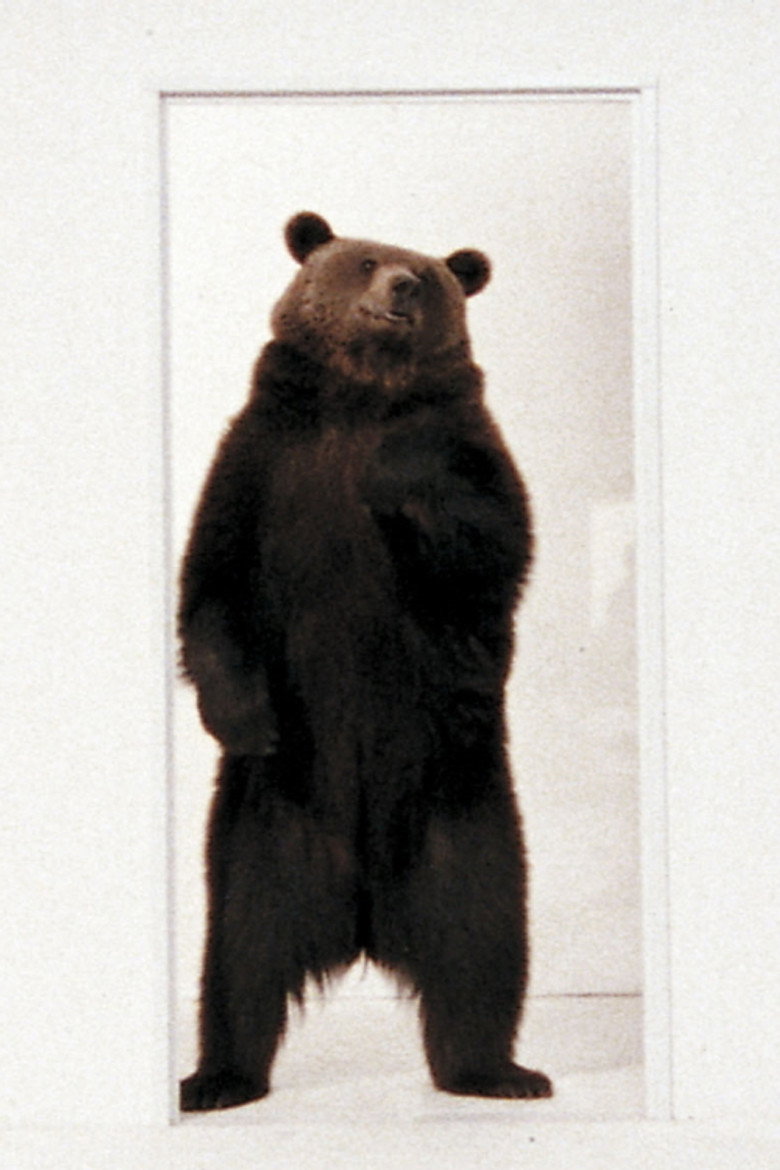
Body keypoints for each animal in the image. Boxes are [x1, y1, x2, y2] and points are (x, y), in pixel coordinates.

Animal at [178, 211, 552, 1111]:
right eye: (366, 259)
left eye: (432, 272)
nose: (404, 287)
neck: (360, 399)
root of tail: (361, 920)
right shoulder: (260, 461)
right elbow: (212, 584)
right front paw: (244, 718)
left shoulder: (471, 450)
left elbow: (495, 541)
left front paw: (398, 475)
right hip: (266, 829)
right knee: (238, 957)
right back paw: (217, 1078)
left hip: (462, 813)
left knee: (482, 942)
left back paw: (498, 1072)